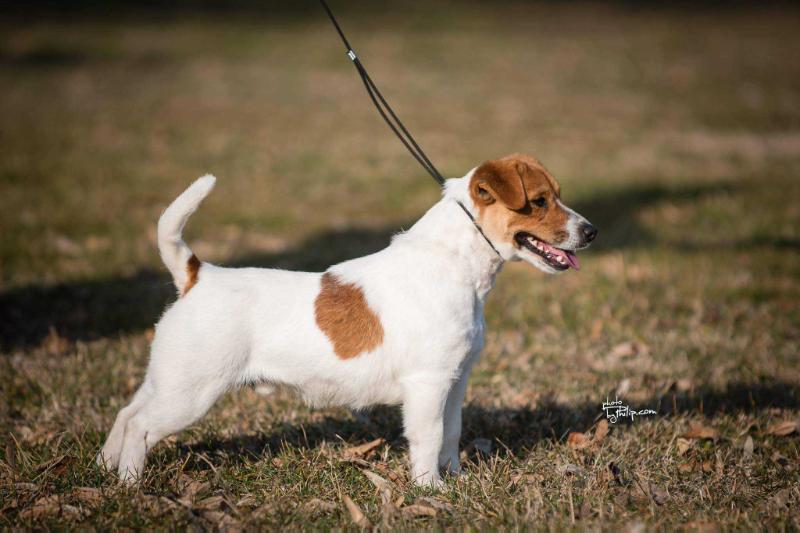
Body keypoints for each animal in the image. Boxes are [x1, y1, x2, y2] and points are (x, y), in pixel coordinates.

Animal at [98, 153, 592, 486]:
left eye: (557, 196)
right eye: (539, 201)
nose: (592, 231)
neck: (454, 262)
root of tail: (197, 275)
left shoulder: (455, 381)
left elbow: (451, 434)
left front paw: (454, 480)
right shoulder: (428, 384)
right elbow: (429, 438)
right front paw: (429, 489)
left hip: (168, 380)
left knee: (127, 413)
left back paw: (105, 469)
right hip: (191, 393)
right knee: (141, 427)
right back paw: (131, 484)